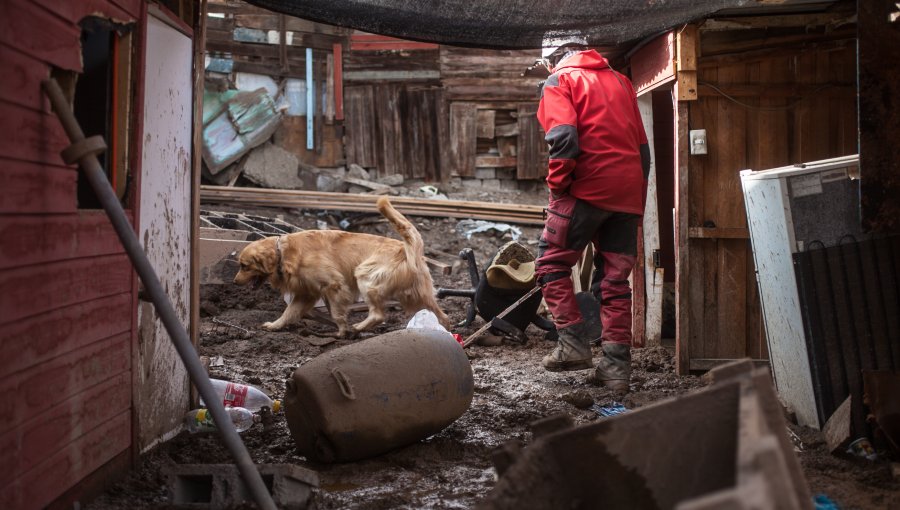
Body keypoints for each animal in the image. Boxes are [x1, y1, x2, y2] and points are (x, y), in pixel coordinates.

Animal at [232, 197, 450, 336]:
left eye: (244, 266)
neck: (283, 253)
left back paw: (358, 327)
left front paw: (343, 330)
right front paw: (275, 325)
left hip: (365, 276)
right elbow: (288, 313)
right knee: (442, 315)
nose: (234, 281)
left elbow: (336, 313)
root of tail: (408, 247)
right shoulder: (306, 293)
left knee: (378, 315)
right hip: (420, 296)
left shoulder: (333, 285)